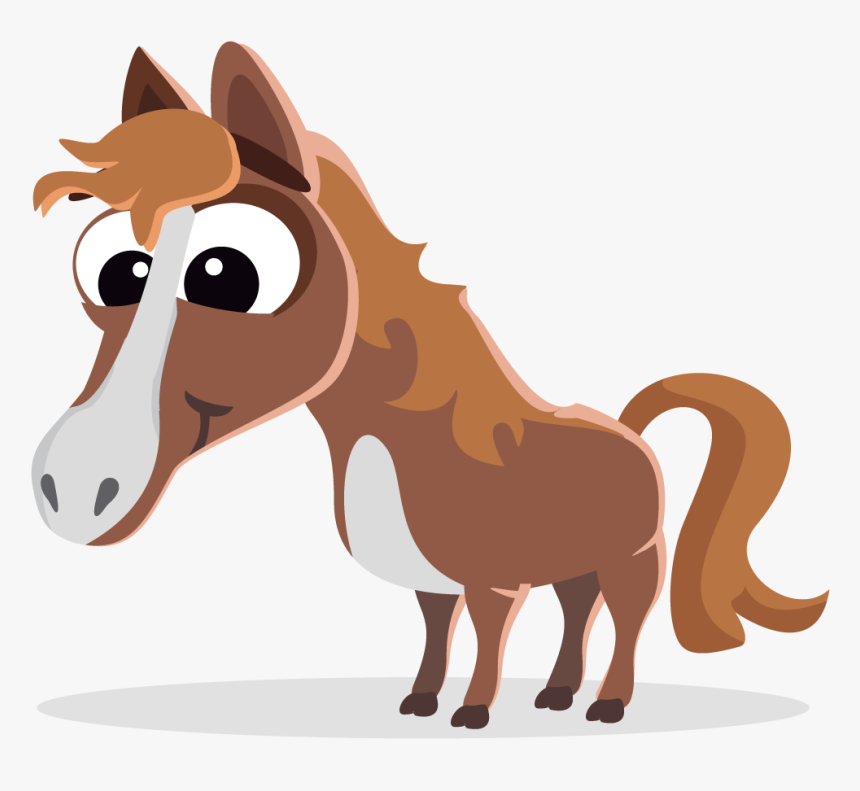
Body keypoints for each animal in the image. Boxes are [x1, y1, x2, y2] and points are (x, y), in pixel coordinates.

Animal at [31, 43, 829, 730]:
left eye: (227, 274)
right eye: (118, 271)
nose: (72, 488)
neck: (415, 437)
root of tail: (630, 430)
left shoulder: (493, 582)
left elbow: (486, 634)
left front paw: (473, 711)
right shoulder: (432, 580)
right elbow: (436, 632)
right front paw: (420, 701)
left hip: (633, 560)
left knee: (626, 620)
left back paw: (607, 703)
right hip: (575, 565)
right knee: (577, 610)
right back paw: (557, 693)